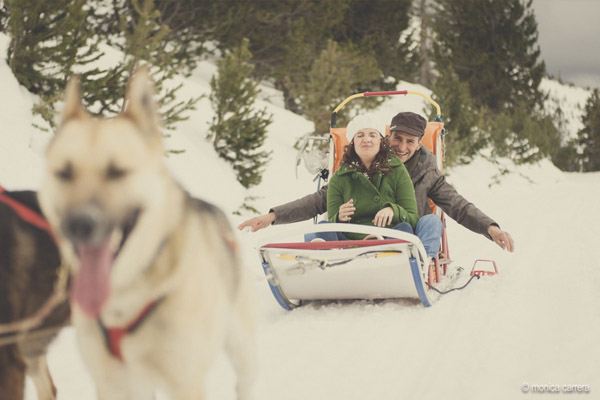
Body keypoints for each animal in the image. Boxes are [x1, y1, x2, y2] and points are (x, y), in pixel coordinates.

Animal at [37, 69, 253, 400]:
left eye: (117, 172)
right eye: (64, 172)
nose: (78, 225)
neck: (122, 303)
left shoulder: (184, 382)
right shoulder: (112, 383)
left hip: (240, 346)